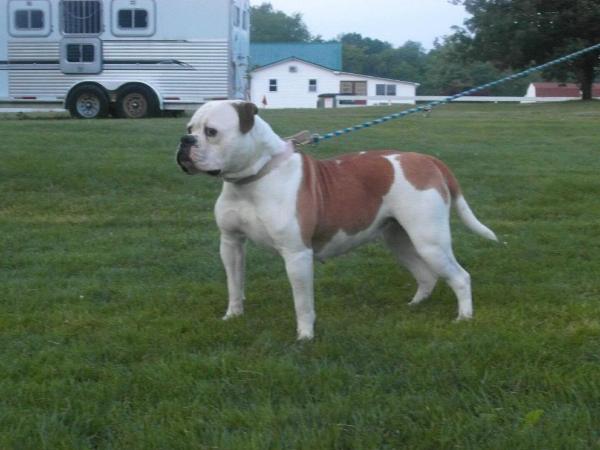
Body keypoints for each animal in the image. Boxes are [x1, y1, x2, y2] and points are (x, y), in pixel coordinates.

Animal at [178, 101, 496, 342]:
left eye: (212, 132)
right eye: (190, 129)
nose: (184, 142)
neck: (253, 177)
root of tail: (428, 160)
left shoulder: (296, 255)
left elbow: (303, 303)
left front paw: (305, 336)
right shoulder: (231, 244)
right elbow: (234, 284)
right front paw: (233, 315)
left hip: (430, 241)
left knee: (460, 277)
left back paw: (464, 317)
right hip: (400, 240)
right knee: (426, 274)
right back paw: (415, 304)